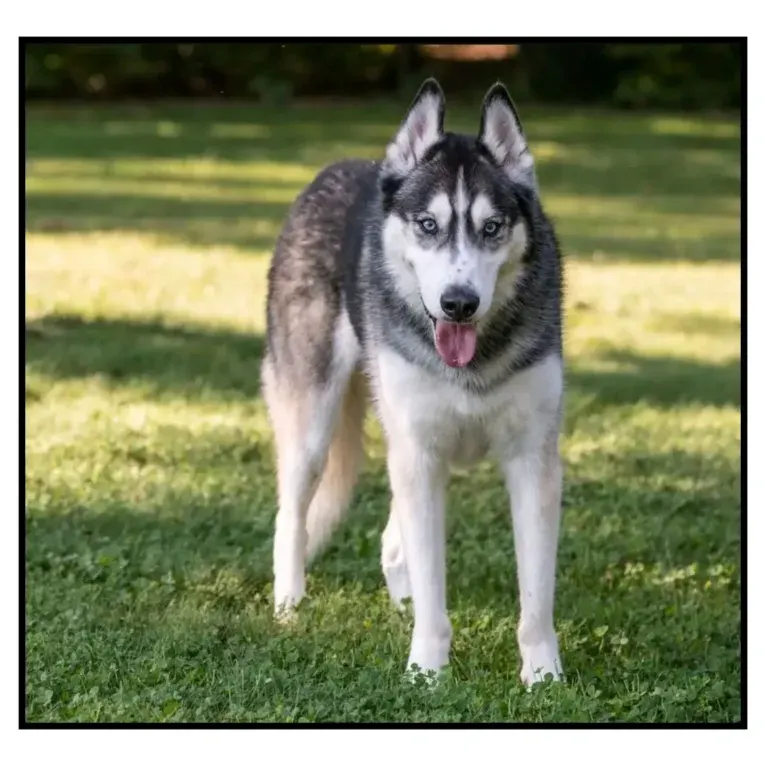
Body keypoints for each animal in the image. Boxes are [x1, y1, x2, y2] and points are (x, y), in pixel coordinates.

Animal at [266, 79, 568, 688]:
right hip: (314, 425)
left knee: (391, 537)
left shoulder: (533, 462)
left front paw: (543, 676)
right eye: (428, 225)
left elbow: (535, 595)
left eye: (492, 228)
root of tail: (336, 168)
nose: (459, 302)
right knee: (292, 517)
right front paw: (428, 671)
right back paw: (289, 604)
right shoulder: (420, 453)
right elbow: (434, 584)